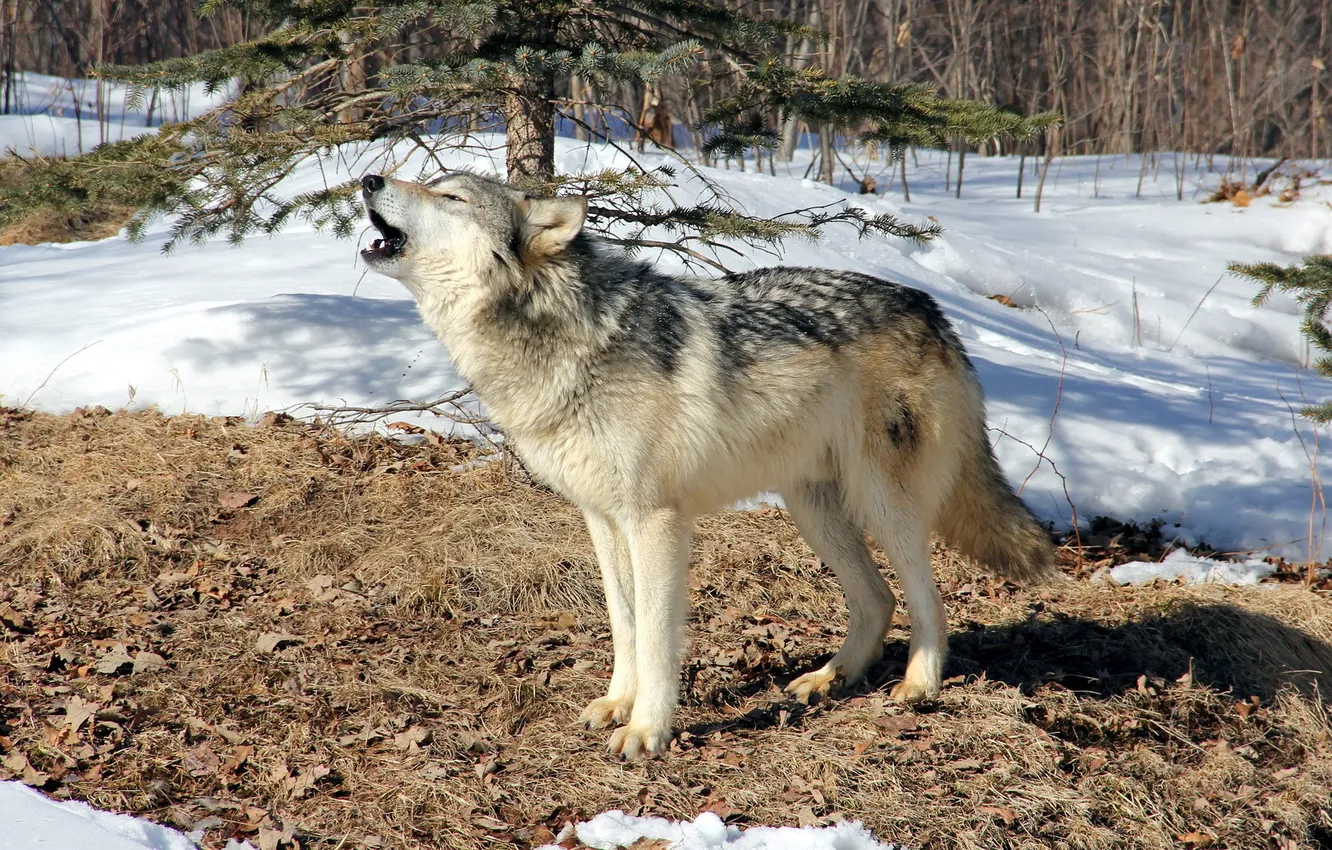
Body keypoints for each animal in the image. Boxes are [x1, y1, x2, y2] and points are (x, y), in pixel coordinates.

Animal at [358, 170, 1056, 759]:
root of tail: (932, 309)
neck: (566, 339)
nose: (367, 177)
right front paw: (618, 703)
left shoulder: (656, 521)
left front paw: (648, 730)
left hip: (883, 505)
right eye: (430, 182)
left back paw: (919, 685)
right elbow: (624, 624)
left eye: (450, 197)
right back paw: (826, 680)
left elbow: (658, 637)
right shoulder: (603, 519)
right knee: (878, 600)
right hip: (814, 512)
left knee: (926, 597)